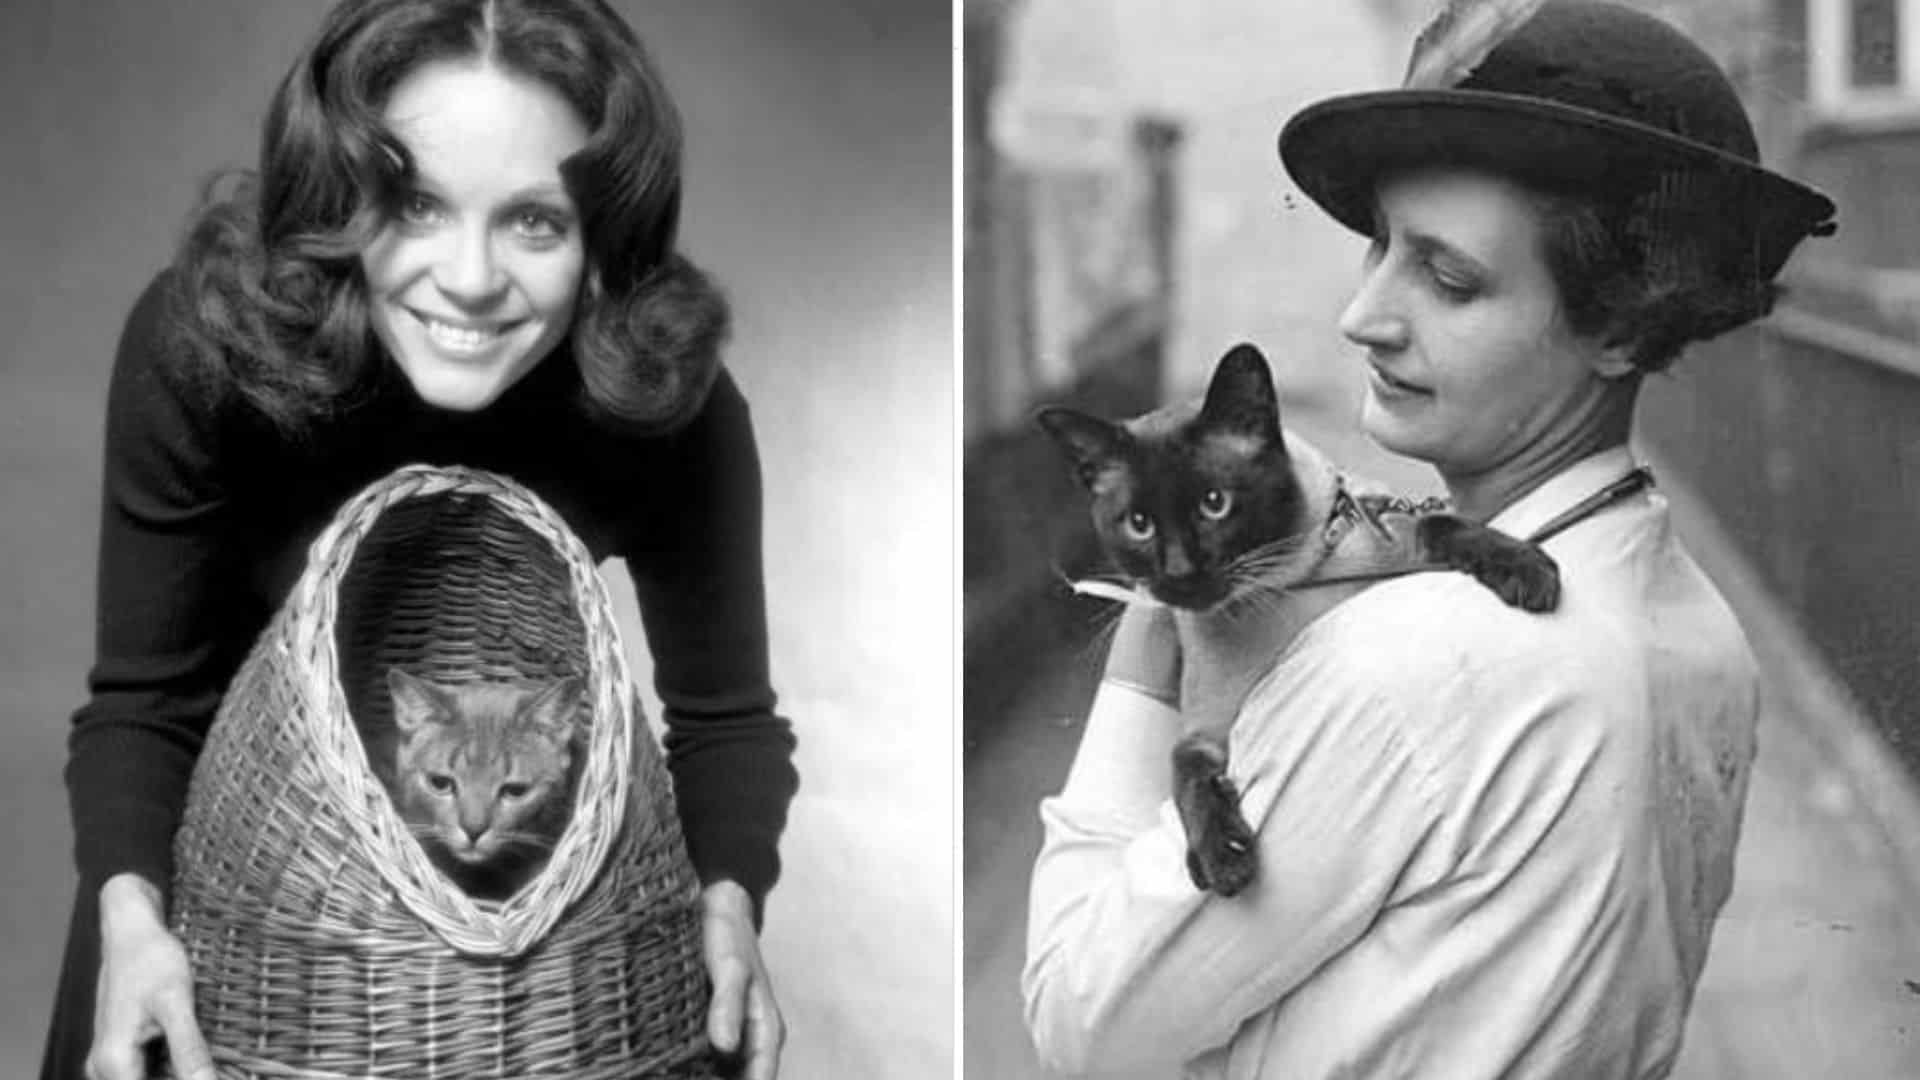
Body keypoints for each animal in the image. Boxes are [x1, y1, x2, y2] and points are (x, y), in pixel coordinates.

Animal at [1036, 342, 1559, 891]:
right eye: (1139, 525)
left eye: (1215, 504)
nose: (1179, 572)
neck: (1280, 592)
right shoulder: (1209, 729)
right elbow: (1186, 770)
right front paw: (1221, 860)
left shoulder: (1399, 544)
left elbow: (1441, 523)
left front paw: (1527, 570)